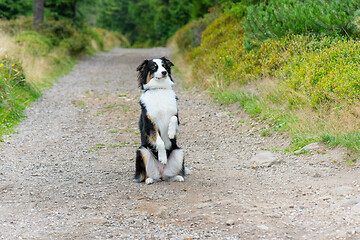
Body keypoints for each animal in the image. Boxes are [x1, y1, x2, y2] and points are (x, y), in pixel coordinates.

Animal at [134, 57, 186, 185]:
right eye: (154, 67)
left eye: (164, 66)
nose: (164, 72)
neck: (160, 89)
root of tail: (161, 173)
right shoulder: (149, 124)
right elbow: (160, 141)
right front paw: (162, 157)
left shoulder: (176, 116)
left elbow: (173, 118)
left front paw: (171, 133)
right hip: (142, 150)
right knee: (145, 175)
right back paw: (149, 180)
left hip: (179, 152)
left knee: (171, 175)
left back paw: (178, 177)